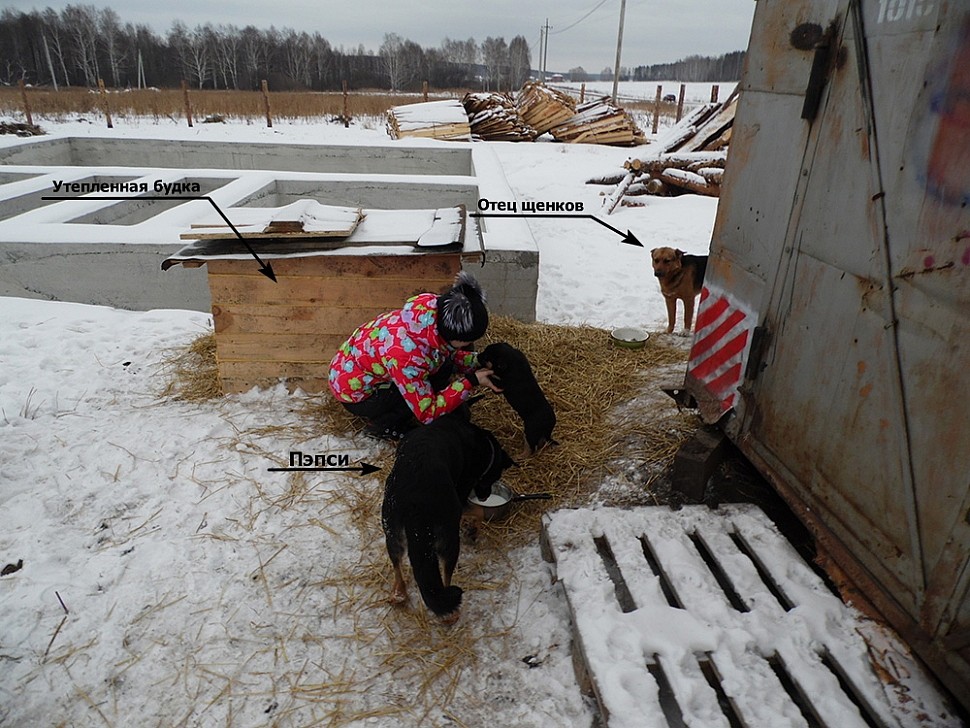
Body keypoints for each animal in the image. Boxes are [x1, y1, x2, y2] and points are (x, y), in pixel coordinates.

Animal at [378, 406, 516, 624]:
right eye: (494, 476)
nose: (484, 496)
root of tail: (416, 504)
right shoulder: (461, 496)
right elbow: (478, 512)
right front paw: (473, 529)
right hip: (449, 539)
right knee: (446, 576)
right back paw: (452, 614)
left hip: (391, 532)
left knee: (397, 566)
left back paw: (399, 593)